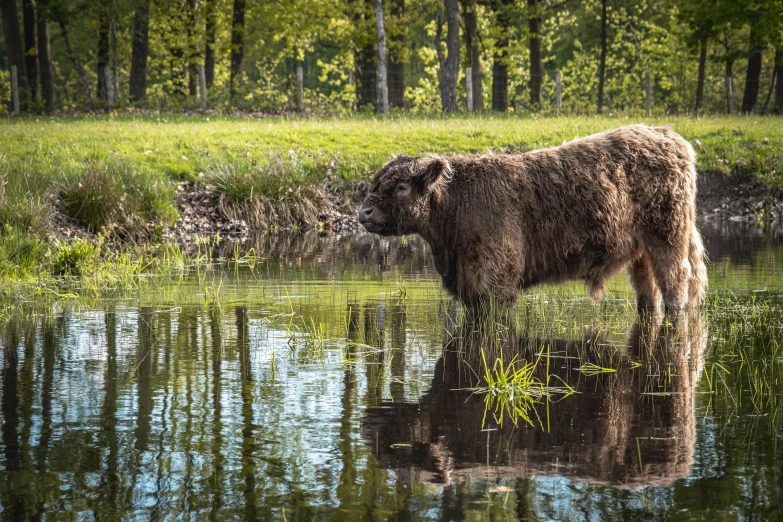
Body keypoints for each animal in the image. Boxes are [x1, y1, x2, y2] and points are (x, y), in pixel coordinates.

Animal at [362, 124, 712, 310]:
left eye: (402, 187)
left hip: (668, 237)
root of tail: (668, 135)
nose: (364, 211)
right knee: (648, 291)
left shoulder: (496, 283)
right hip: (642, 250)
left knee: (675, 283)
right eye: (375, 183)